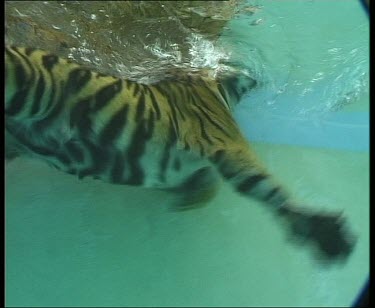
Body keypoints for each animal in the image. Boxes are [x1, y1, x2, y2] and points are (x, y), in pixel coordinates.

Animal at [5, 45, 358, 262]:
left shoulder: (189, 165)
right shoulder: (228, 142)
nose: (261, 75)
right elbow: (266, 187)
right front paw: (322, 231)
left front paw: (186, 199)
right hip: (30, 80)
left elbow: (206, 181)